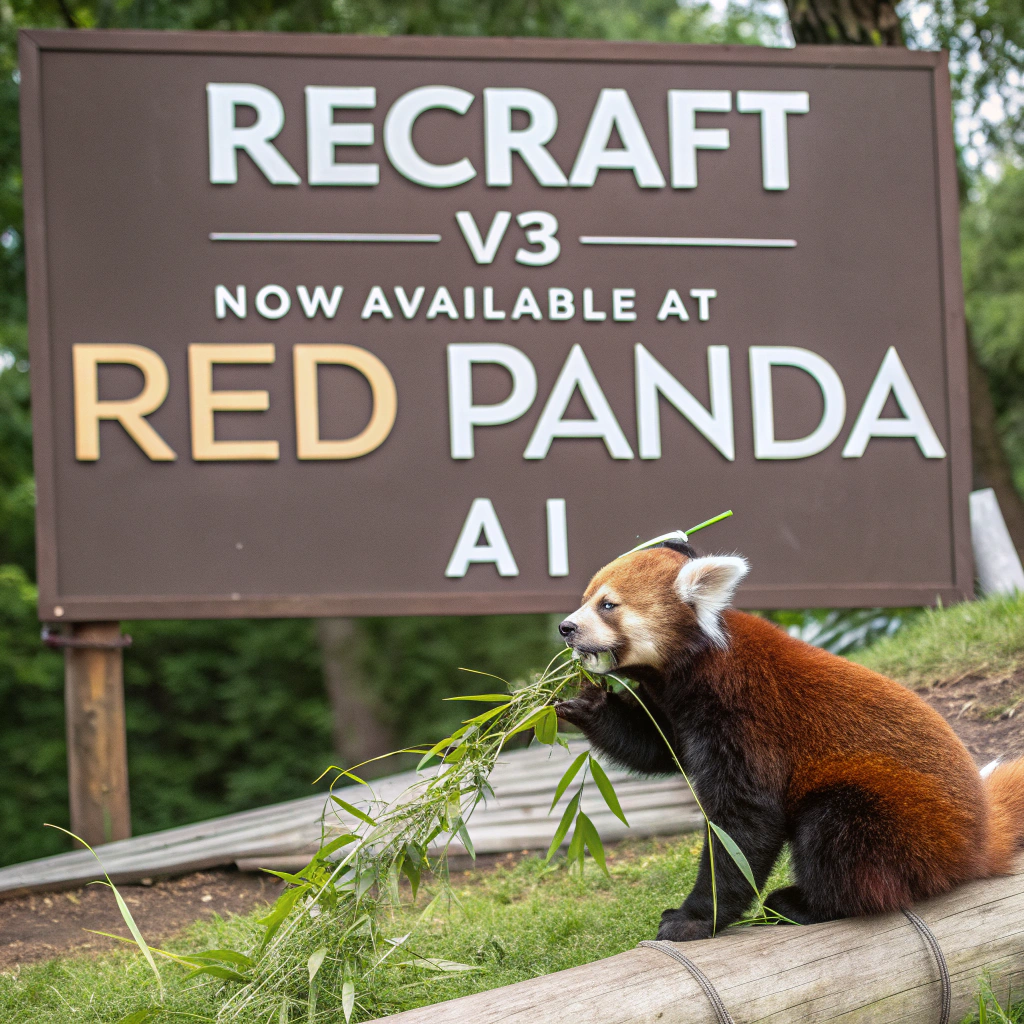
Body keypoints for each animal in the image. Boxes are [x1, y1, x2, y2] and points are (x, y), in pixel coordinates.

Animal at [554, 539, 1024, 941]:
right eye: (585, 599)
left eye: (607, 605)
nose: (565, 627)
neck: (699, 665)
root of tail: (979, 839)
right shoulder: (678, 713)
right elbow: (654, 746)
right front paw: (580, 701)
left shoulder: (746, 716)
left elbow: (745, 825)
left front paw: (695, 918)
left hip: (900, 825)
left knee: (835, 830)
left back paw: (804, 905)